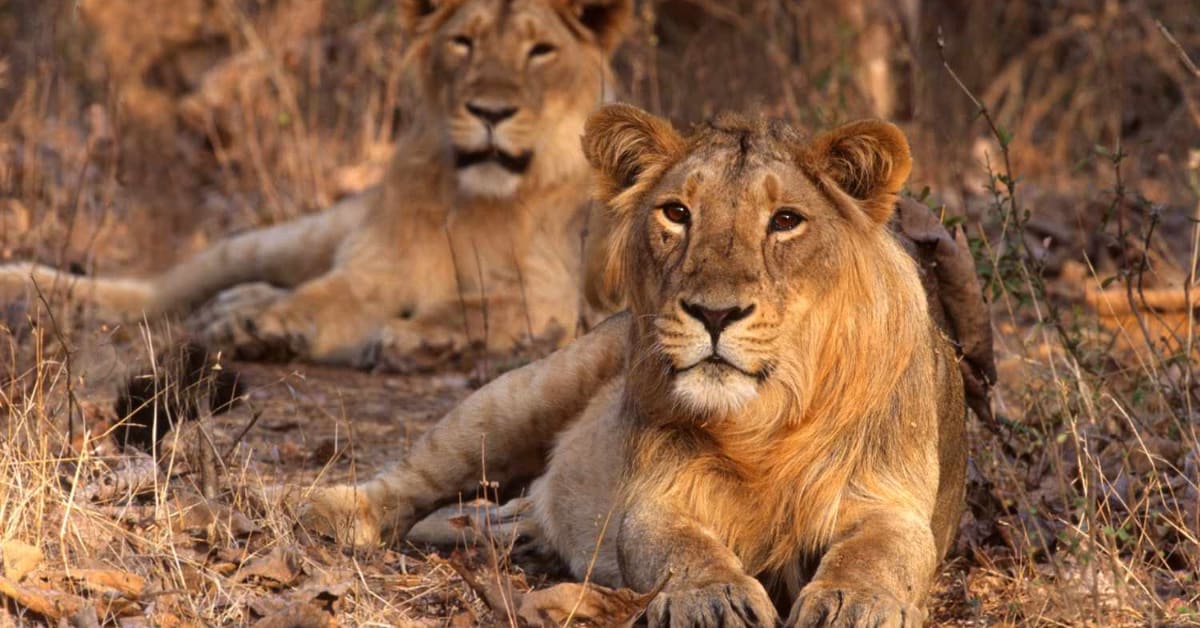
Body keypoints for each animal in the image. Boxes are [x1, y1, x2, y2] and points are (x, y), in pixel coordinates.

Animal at [0, 0, 633, 370]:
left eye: (540, 51)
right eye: (464, 43)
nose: (491, 112)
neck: (479, 199)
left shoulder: (555, 295)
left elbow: (479, 304)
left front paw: (421, 339)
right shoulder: (376, 269)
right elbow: (326, 295)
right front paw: (271, 324)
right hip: (291, 237)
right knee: (164, 289)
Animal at [302, 103, 970, 626]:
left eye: (785, 221)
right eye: (676, 213)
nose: (714, 313)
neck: (766, 424)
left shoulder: (891, 499)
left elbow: (880, 552)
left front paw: (858, 602)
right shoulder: (656, 495)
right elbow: (677, 547)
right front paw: (714, 597)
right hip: (520, 396)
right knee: (414, 475)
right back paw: (325, 510)